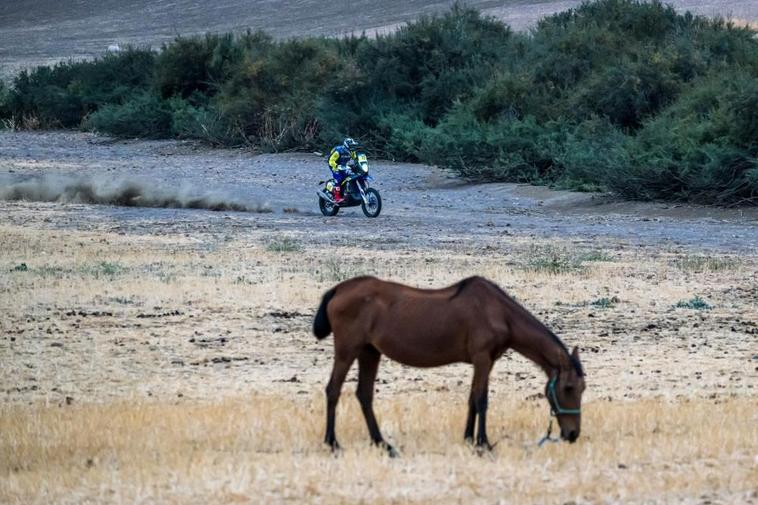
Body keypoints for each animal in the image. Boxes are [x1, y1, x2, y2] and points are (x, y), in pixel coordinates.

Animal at [312, 274, 584, 454]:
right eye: (569, 388)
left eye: (582, 389)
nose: (573, 434)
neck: (499, 313)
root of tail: (338, 290)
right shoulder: (482, 358)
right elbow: (481, 401)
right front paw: (484, 443)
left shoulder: (483, 362)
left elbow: (473, 399)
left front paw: (469, 439)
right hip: (347, 350)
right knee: (333, 390)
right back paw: (332, 442)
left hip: (369, 352)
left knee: (364, 395)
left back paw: (383, 444)